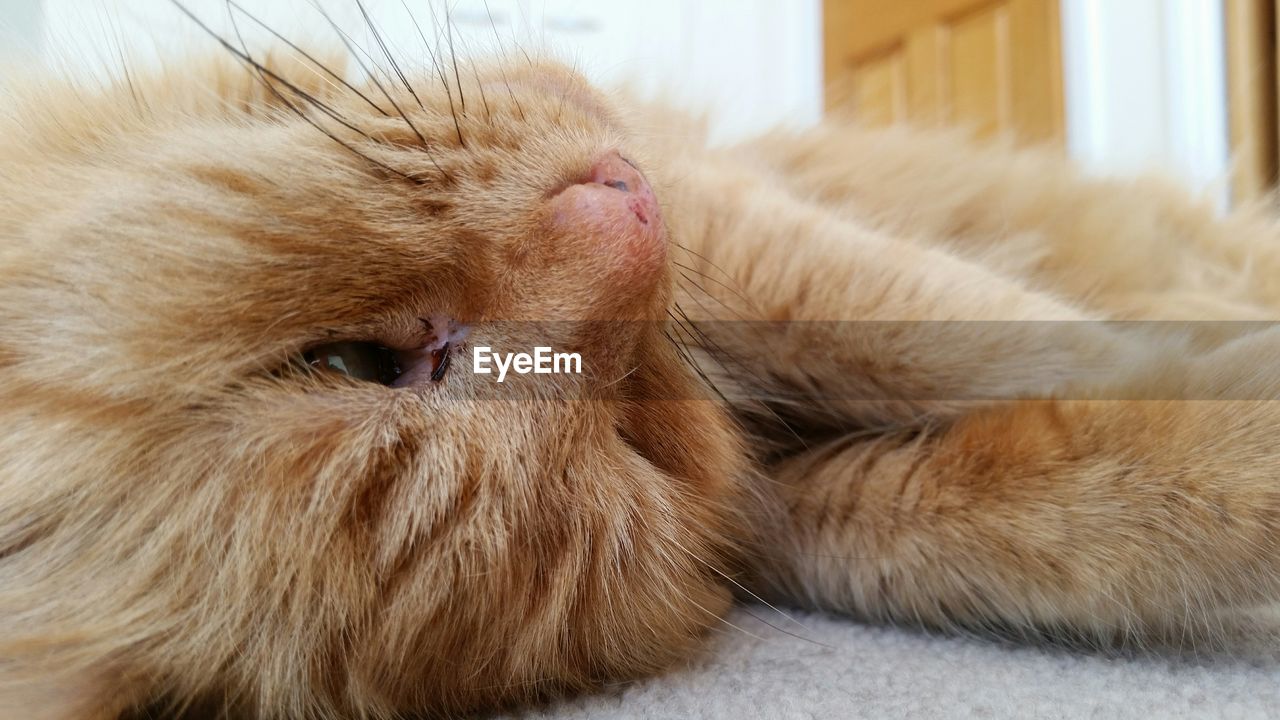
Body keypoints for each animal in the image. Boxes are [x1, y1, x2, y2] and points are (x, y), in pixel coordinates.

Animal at [2, 4, 1280, 712]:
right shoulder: (808, 514)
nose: (632, 222)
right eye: (634, 442)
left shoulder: (747, 233)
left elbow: (1002, 335)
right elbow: (1065, 504)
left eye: (353, 361)